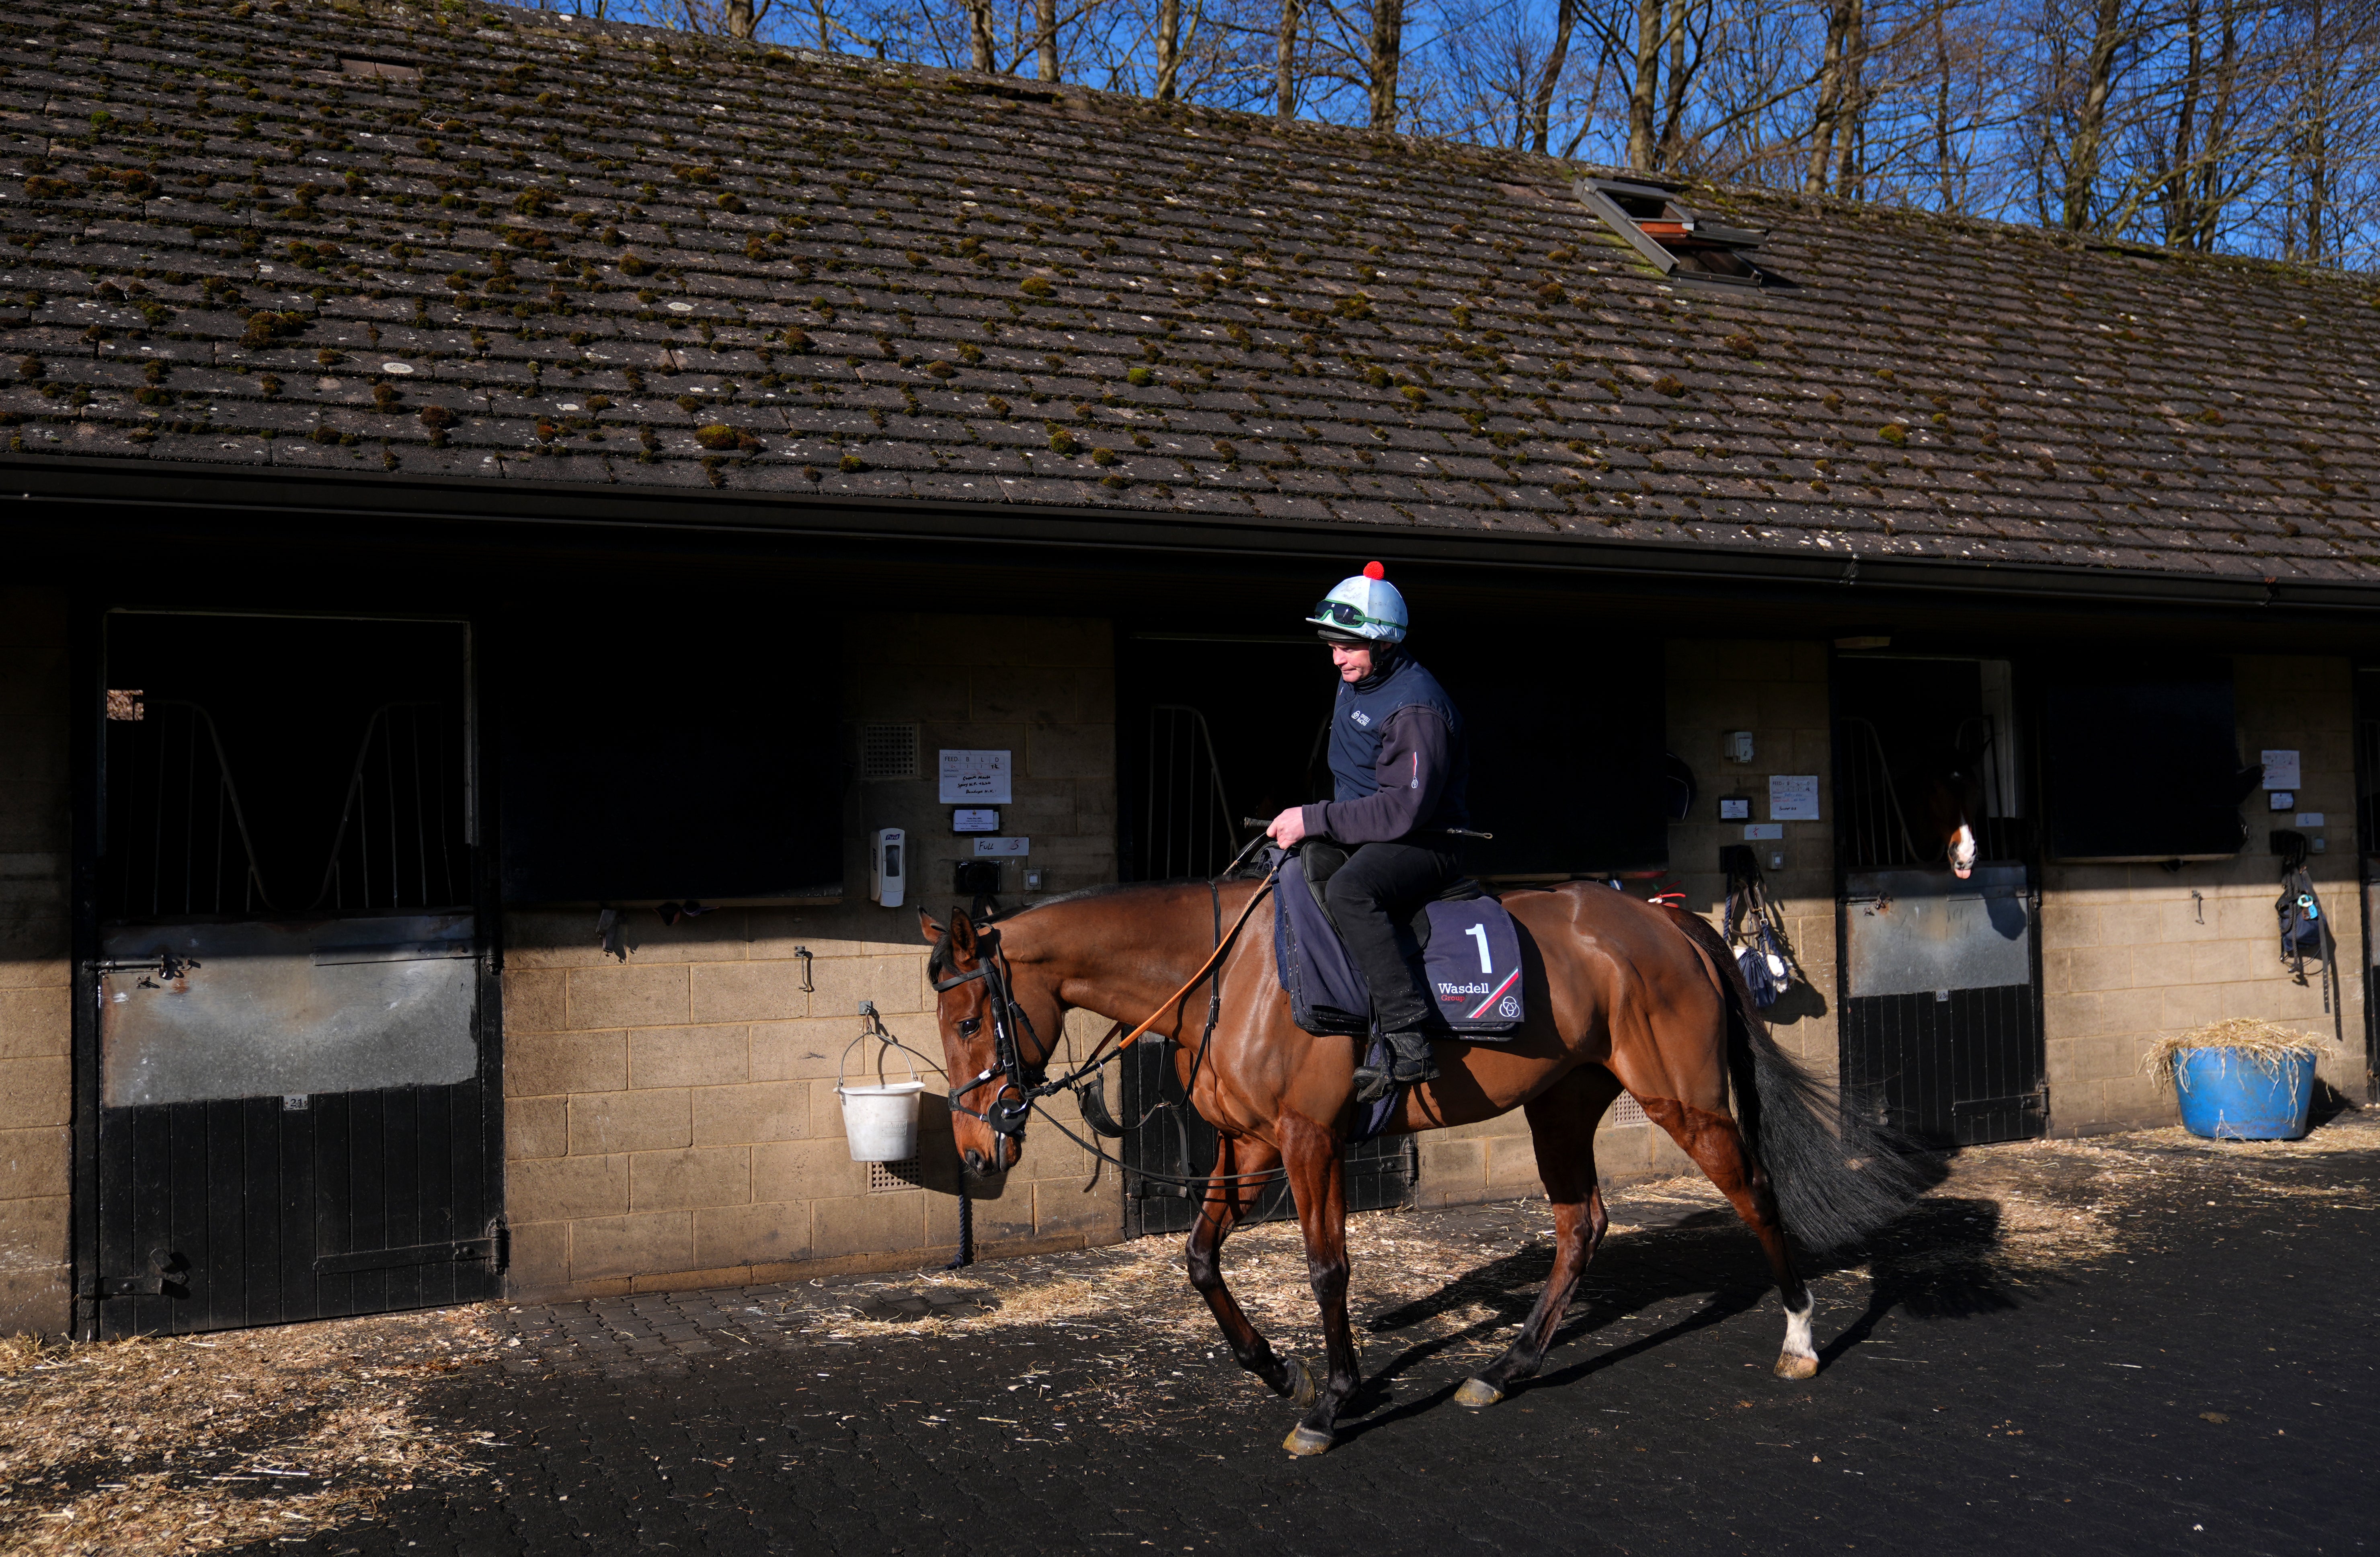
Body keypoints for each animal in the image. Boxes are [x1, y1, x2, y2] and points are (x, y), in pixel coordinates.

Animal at [919, 871, 1923, 1457]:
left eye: (968, 1020)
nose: (975, 1149)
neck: (1224, 974)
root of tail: (1668, 923)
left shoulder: (1306, 1140)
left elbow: (1327, 1268)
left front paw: (1329, 1403)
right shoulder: (1247, 1146)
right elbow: (1199, 1259)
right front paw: (1276, 1370)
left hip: (1683, 1098)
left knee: (1753, 1191)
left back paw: (1800, 1340)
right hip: (1562, 1104)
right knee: (1581, 1225)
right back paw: (1505, 1366)